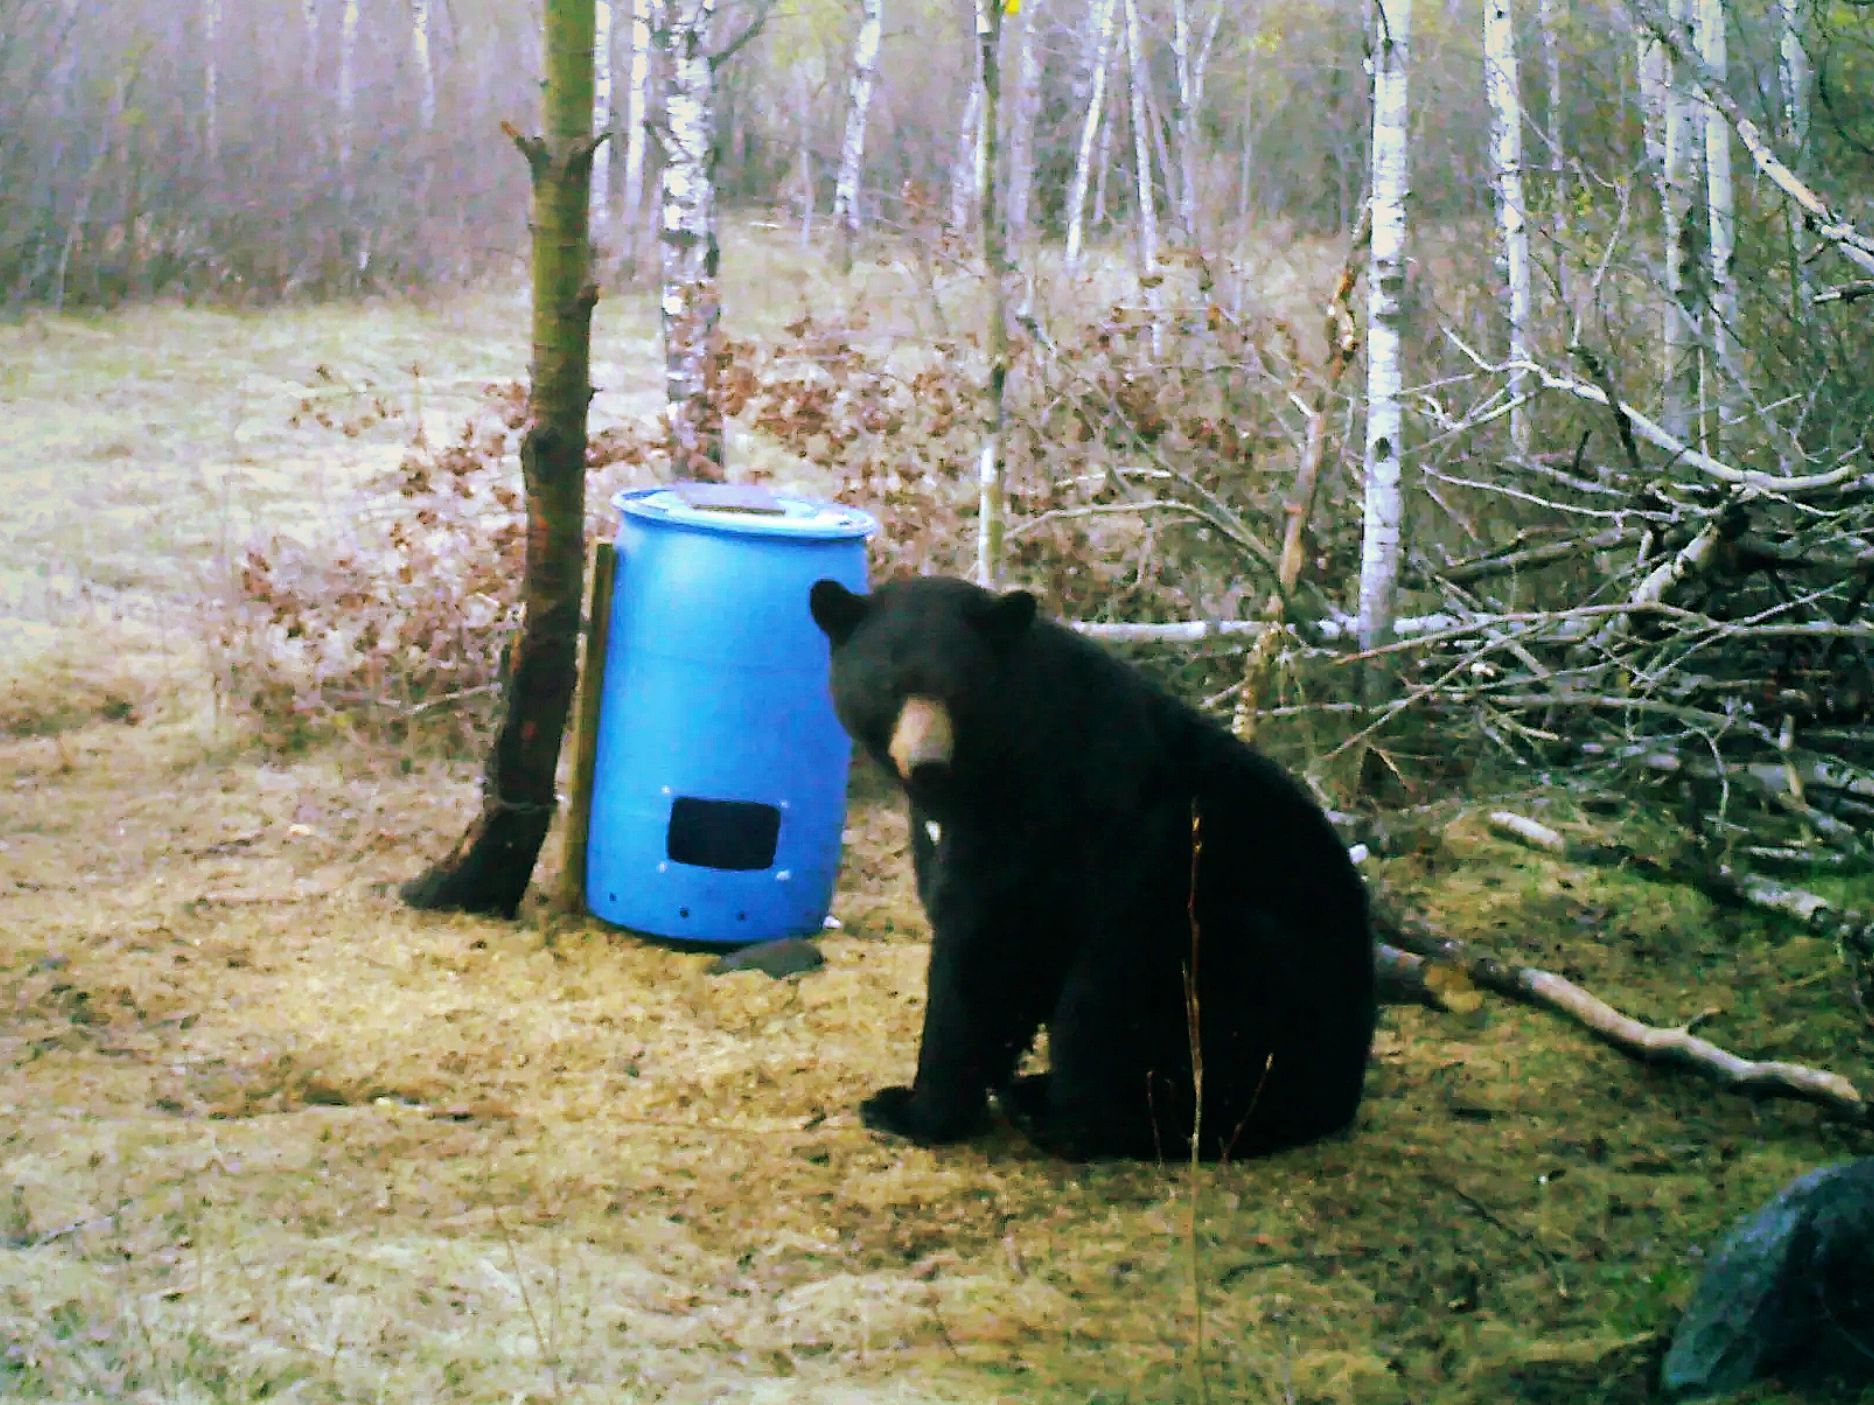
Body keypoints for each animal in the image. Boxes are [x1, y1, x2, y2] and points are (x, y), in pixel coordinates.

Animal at [809, 573, 1376, 1161]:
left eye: (959, 691)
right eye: (889, 687)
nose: (926, 764)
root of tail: (1341, 1091)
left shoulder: (1043, 817)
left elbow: (986, 950)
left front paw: (911, 1109)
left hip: (1222, 947)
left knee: (1113, 1005)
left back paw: (1083, 1120)